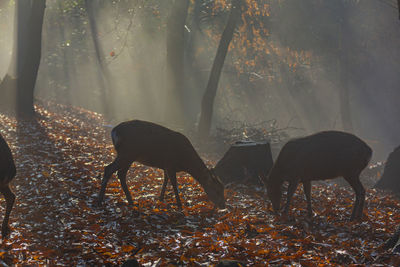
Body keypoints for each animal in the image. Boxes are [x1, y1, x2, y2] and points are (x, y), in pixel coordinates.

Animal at [97, 120, 225, 210]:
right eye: (217, 190)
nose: (223, 206)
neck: (184, 161)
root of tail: (114, 132)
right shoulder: (170, 163)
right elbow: (174, 184)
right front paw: (179, 205)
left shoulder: (165, 166)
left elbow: (165, 180)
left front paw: (161, 199)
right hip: (127, 153)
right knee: (109, 169)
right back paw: (100, 200)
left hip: (129, 155)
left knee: (120, 173)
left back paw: (131, 201)